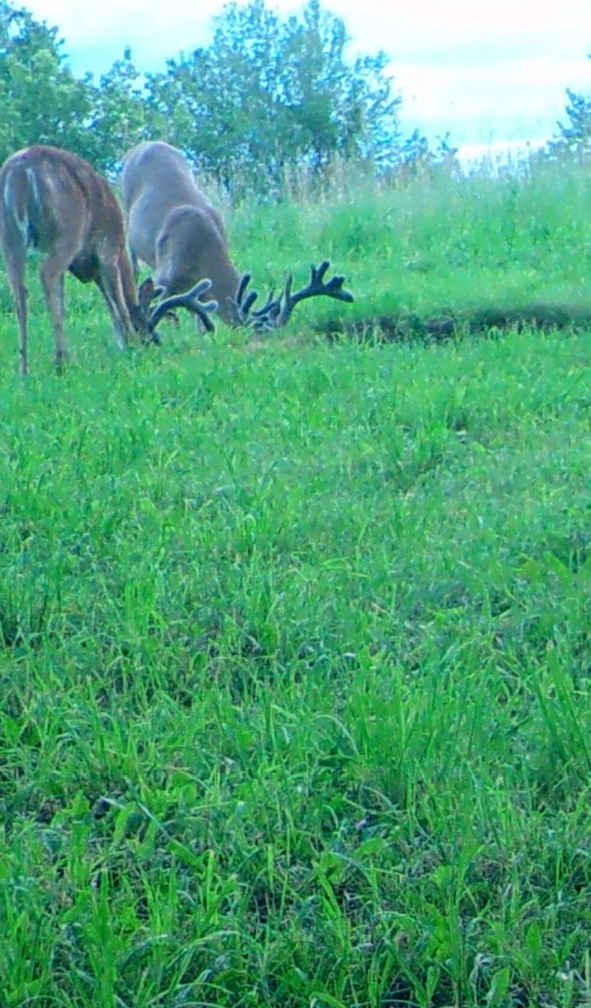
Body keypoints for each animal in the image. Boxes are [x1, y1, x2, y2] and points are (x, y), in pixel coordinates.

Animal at [0, 145, 219, 375]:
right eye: (146, 325)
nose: (152, 341)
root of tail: (20, 170)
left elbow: (84, 301)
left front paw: (123, 342)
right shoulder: (109, 250)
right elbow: (118, 301)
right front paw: (132, 347)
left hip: (9, 234)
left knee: (20, 291)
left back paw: (25, 368)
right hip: (67, 232)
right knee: (46, 275)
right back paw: (62, 361)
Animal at [121, 141, 354, 332]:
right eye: (258, 334)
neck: (201, 252)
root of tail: (139, 147)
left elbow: (199, 318)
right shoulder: (164, 276)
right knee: (133, 263)